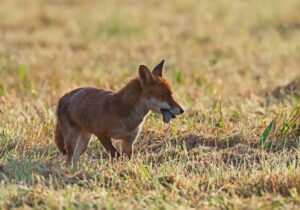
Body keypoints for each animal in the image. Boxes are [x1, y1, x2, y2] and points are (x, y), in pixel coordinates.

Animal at [55, 60, 184, 166]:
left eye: (171, 94)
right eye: (166, 95)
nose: (182, 110)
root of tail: (63, 97)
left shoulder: (128, 141)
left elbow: (126, 158)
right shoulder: (101, 134)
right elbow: (115, 154)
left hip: (84, 142)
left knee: (74, 159)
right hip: (72, 139)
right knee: (69, 159)